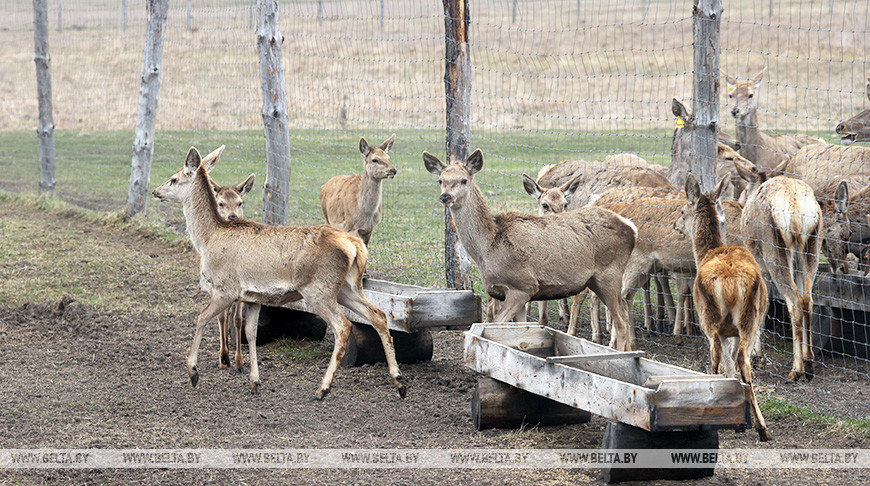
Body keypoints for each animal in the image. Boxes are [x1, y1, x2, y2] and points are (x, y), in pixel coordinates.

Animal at [152, 146, 408, 400]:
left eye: (173, 178)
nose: (156, 191)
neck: (207, 239)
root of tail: (356, 245)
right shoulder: (252, 297)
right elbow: (251, 333)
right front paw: (254, 382)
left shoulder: (225, 288)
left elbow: (201, 318)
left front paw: (193, 372)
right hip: (348, 287)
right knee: (378, 314)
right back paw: (399, 382)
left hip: (319, 289)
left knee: (343, 326)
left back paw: (322, 389)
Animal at [424, 150, 640, 352]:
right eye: (440, 180)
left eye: (464, 179)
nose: (445, 196)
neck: (486, 249)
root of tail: (631, 228)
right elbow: (518, 330)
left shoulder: (522, 285)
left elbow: (495, 322)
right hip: (597, 279)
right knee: (624, 311)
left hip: (609, 274)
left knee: (621, 321)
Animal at [676, 173, 772, 442]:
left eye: (682, 210)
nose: (676, 225)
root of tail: (729, 282)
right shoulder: (733, 331)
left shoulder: (720, 329)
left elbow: (726, 365)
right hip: (748, 320)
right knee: (742, 360)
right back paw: (762, 427)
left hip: (709, 319)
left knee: (718, 358)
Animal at [736, 161, 824, 382]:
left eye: (744, 187)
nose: (740, 200)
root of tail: (796, 210)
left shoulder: (758, 261)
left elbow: (762, 304)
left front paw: (756, 355)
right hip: (811, 249)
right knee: (807, 300)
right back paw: (809, 363)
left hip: (775, 253)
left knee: (794, 303)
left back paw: (796, 369)